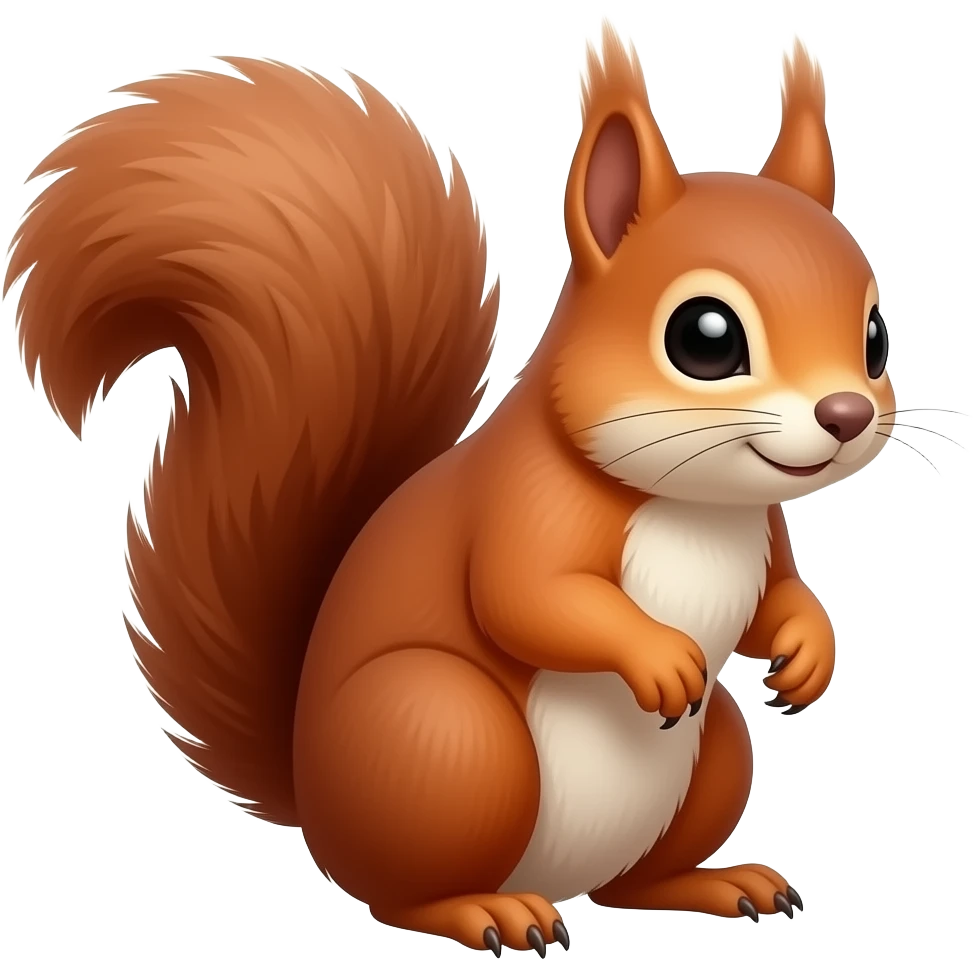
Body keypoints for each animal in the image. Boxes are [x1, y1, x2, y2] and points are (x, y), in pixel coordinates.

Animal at [5, 18, 896, 954]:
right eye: (705, 337)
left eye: (874, 336)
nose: (844, 413)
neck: (693, 507)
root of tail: (313, 800)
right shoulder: (526, 504)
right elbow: (525, 595)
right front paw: (656, 655)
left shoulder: (762, 531)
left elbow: (777, 598)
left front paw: (809, 649)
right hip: (445, 735)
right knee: (400, 891)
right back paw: (486, 911)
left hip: (708, 751)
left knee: (632, 881)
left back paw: (716, 882)